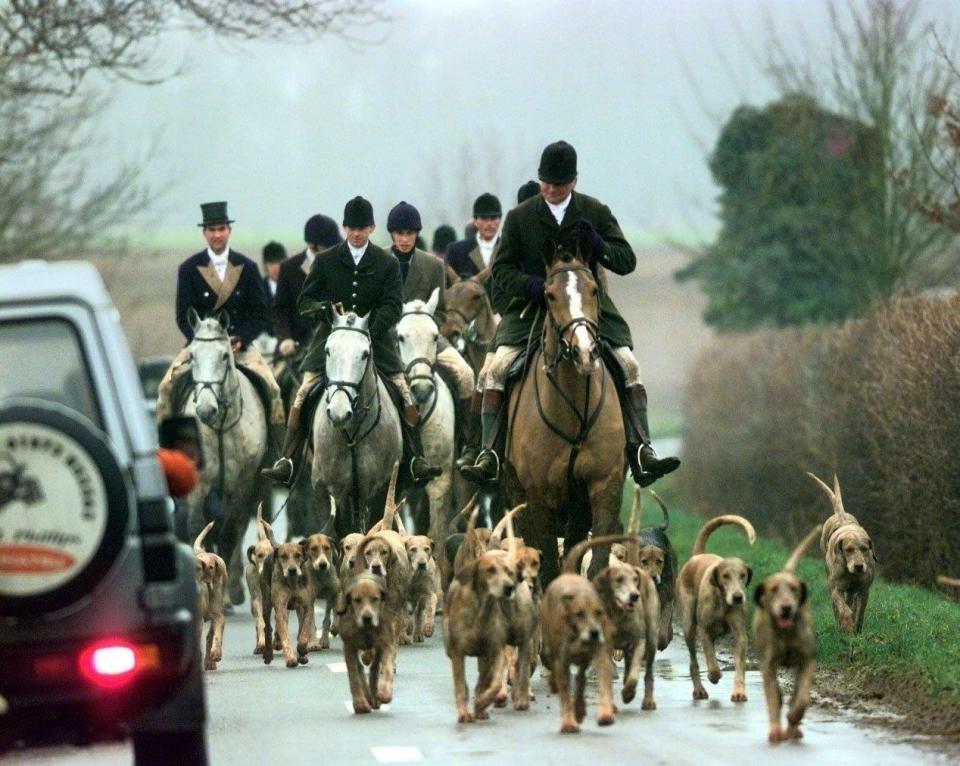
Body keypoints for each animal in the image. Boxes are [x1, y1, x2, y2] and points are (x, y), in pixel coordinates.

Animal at [178, 310, 268, 608]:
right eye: (193, 356)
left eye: (224, 357)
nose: (206, 409)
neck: (218, 426)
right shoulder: (199, 484)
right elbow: (197, 527)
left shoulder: (241, 485)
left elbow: (229, 533)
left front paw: (225, 593)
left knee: (235, 528)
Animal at [310, 312, 404, 540]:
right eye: (327, 350)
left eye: (364, 354)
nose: (339, 413)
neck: (352, 434)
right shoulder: (329, 491)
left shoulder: (380, 490)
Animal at [498, 243, 628, 584]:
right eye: (549, 294)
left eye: (594, 289)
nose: (584, 352)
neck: (574, 415)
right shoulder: (539, 497)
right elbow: (547, 567)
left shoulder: (604, 486)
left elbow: (595, 562)